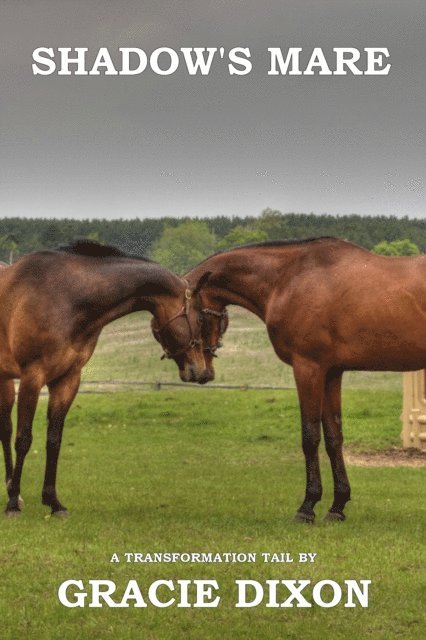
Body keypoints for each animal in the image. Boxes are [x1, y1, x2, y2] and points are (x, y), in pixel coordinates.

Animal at [0, 241, 207, 516]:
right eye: (200, 318)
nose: (200, 370)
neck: (63, 296)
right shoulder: (32, 376)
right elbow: (23, 439)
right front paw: (13, 503)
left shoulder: (67, 379)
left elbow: (54, 440)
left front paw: (53, 502)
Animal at [158, 237, 426, 523]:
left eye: (191, 319)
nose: (198, 372)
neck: (288, 279)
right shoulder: (331, 373)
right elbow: (334, 438)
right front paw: (337, 506)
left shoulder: (308, 368)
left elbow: (310, 437)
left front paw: (308, 506)